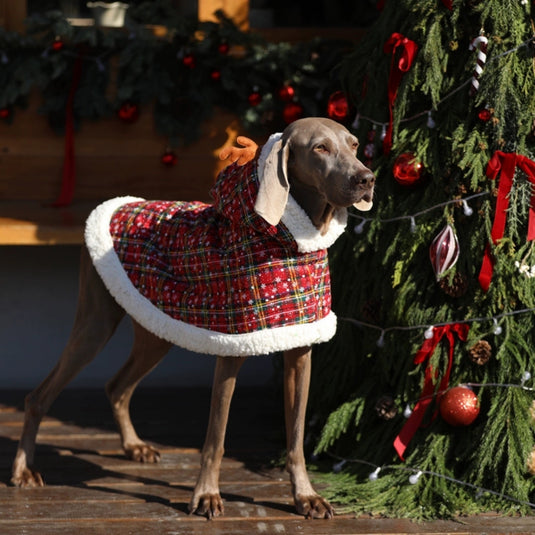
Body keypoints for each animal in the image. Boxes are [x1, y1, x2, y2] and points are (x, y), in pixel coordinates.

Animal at [10, 116, 374, 520]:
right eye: (320, 148)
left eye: (354, 144)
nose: (367, 178)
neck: (291, 242)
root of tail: (118, 205)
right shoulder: (232, 346)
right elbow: (215, 437)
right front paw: (206, 495)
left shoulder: (300, 350)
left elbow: (295, 439)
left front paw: (305, 497)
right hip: (95, 322)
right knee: (39, 396)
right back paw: (23, 470)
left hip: (156, 327)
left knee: (117, 386)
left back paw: (134, 446)